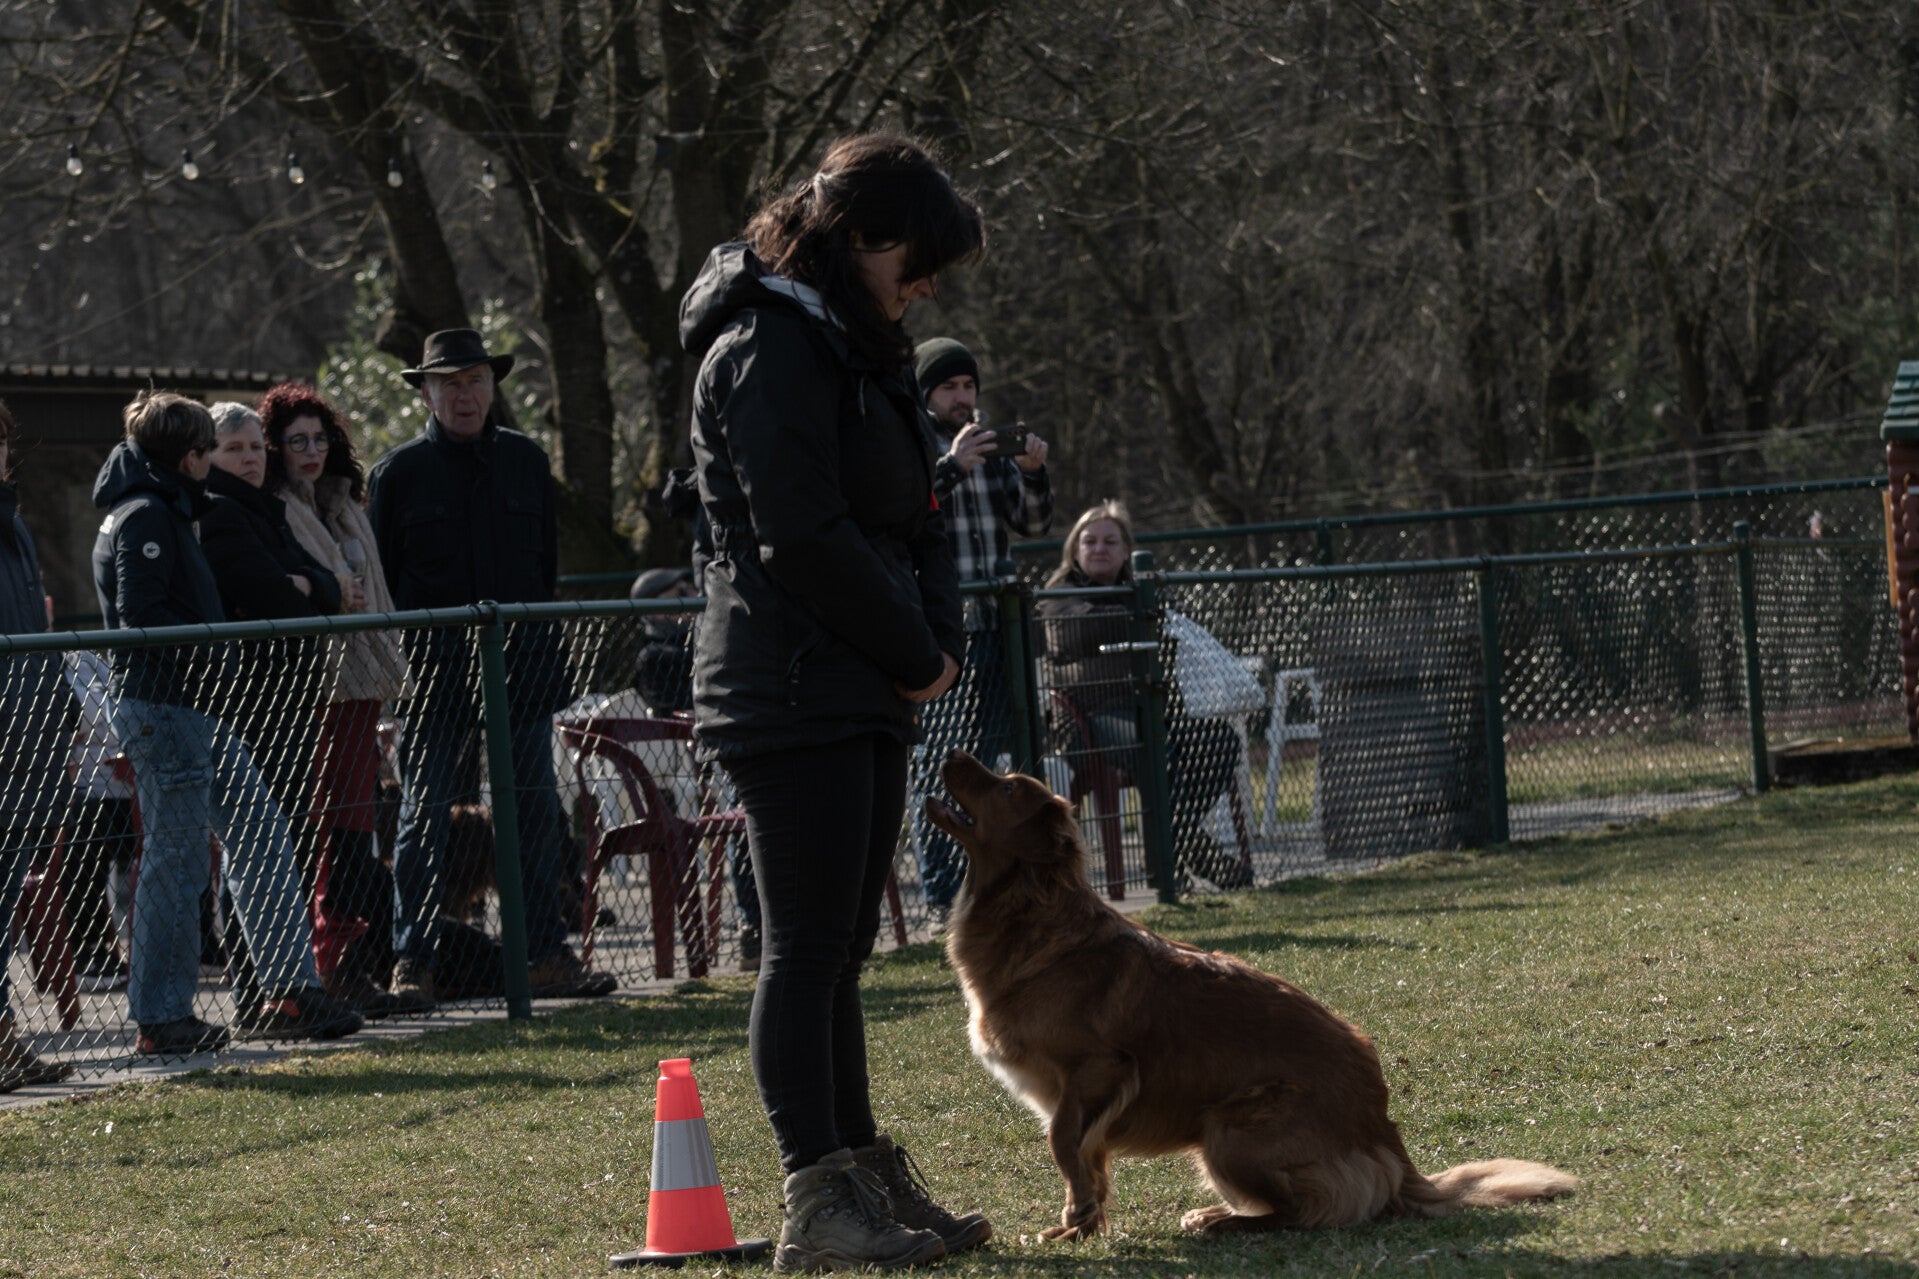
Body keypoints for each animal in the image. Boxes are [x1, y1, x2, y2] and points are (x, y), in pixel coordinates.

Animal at [925, 751, 1578, 1240]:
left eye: (1008, 787)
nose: (949, 752)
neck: (1034, 913)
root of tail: (1382, 1134)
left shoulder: (1097, 1068)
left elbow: (1064, 1143)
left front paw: (1078, 1218)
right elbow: (1086, 1159)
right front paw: (1083, 1222)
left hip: (1230, 1128)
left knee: (1304, 1211)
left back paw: (1224, 1221)